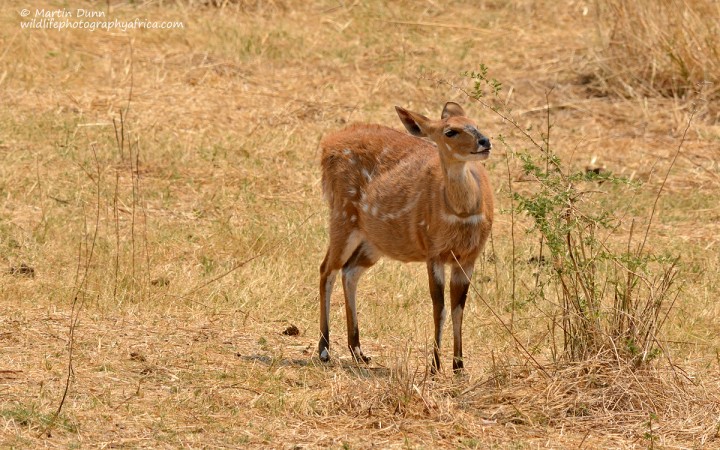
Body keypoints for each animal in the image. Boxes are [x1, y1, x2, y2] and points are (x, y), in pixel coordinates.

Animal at [318, 102, 492, 372]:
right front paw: (434, 367)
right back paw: (324, 350)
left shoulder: (468, 258)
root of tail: (328, 144)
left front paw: (459, 367)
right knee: (327, 269)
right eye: (450, 131)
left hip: (372, 242)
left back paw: (359, 351)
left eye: (475, 123)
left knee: (349, 271)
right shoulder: (434, 253)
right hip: (342, 218)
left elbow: (458, 308)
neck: (462, 214)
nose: (485, 141)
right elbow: (440, 307)